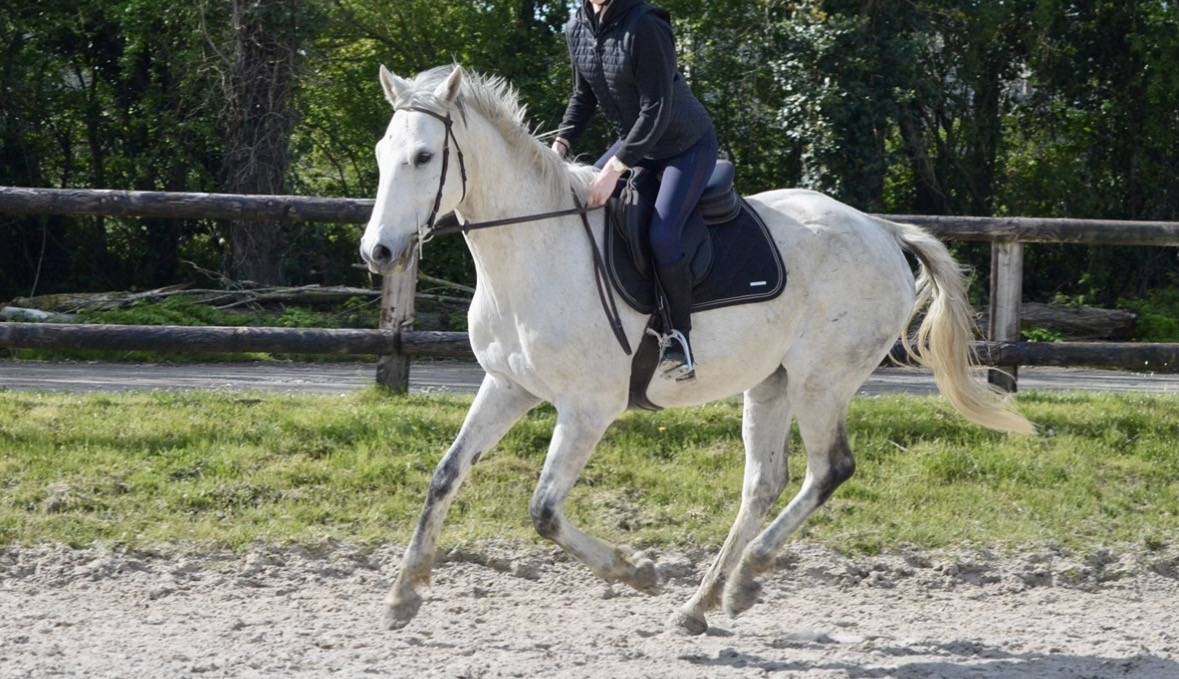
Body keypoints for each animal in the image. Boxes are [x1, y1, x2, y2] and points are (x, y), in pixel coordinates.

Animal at [358, 64, 1034, 635]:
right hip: (772, 382)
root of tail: (881, 228)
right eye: (382, 153)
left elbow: (545, 510)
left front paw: (638, 572)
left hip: (821, 381)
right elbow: (445, 476)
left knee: (829, 469)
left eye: (423, 157)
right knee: (764, 483)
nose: (378, 253)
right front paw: (401, 597)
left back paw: (745, 579)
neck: (535, 252)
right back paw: (704, 602)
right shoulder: (509, 387)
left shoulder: (587, 409)